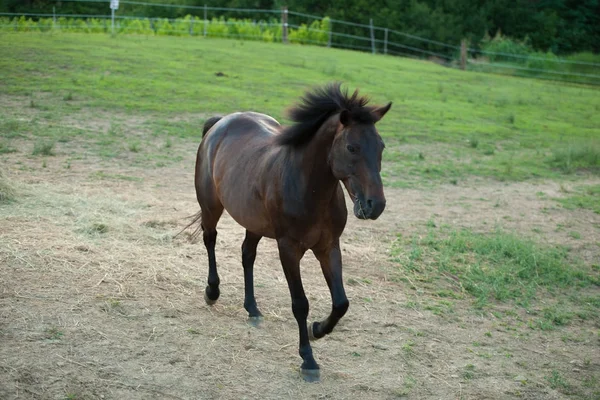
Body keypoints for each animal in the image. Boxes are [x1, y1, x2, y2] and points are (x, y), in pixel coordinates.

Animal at [191, 82, 390, 382]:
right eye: (352, 147)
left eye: (381, 146)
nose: (374, 205)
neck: (309, 188)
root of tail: (220, 123)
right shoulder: (289, 249)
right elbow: (300, 303)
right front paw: (308, 359)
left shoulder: (328, 246)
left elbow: (341, 302)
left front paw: (317, 330)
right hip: (211, 206)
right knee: (210, 239)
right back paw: (212, 291)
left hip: (254, 222)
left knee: (247, 255)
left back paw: (252, 309)